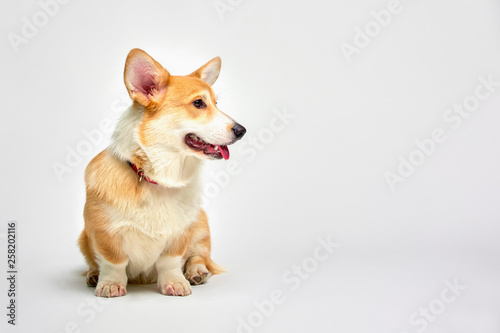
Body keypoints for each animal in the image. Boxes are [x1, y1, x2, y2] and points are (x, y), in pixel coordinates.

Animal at [77, 48, 246, 296]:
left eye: (216, 103)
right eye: (198, 103)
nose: (242, 130)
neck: (159, 177)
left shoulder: (180, 234)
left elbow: (170, 261)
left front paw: (175, 282)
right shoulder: (103, 232)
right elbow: (113, 262)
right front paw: (110, 284)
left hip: (200, 224)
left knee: (199, 256)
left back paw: (196, 272)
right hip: (83, 238)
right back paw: (93, 275)